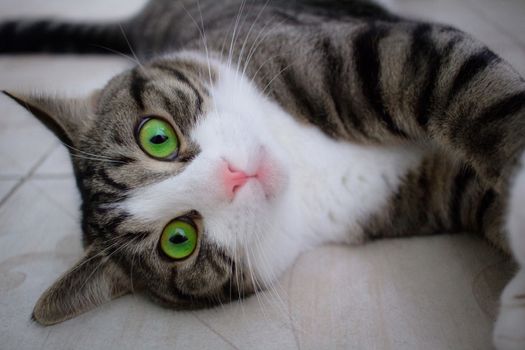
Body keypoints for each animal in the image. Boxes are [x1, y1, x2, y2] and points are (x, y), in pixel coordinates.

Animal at [1, 1, 524, 348]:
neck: (301, 164)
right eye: (178, 240)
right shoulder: (413, 188)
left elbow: (475, 89)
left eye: (157, 137)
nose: (234, 176)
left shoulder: (365, 56)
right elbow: (477, 191)